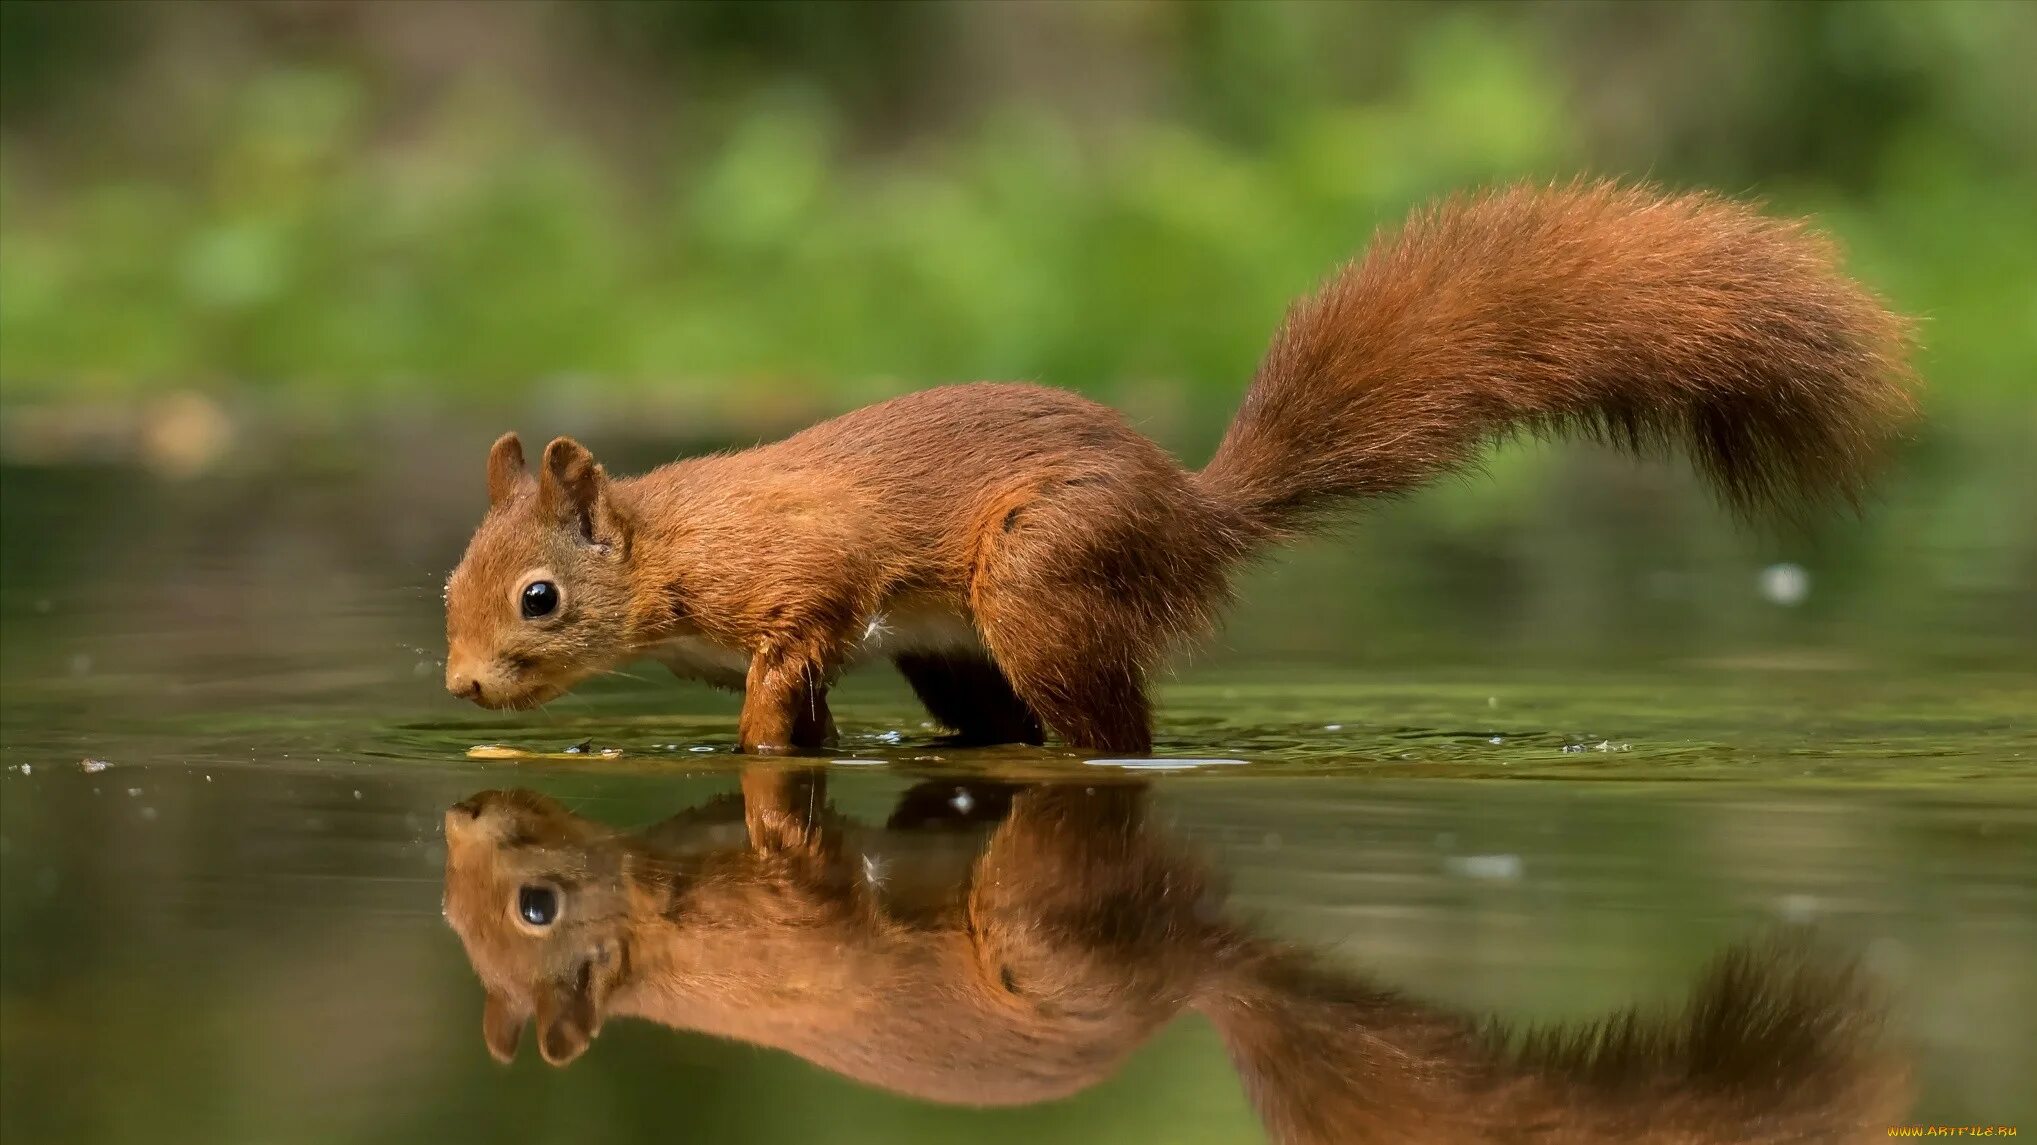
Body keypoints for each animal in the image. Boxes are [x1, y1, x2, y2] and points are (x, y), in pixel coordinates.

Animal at [442, 180, 1906, 749]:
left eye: (538, 599)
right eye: (450, 583)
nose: (460, 688)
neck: (672, 540)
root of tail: (1196, 511)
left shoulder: (799, 578)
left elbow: (789, 661)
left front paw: (756, 744)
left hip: (1045, 573)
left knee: (1114, 733)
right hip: (957, 646)